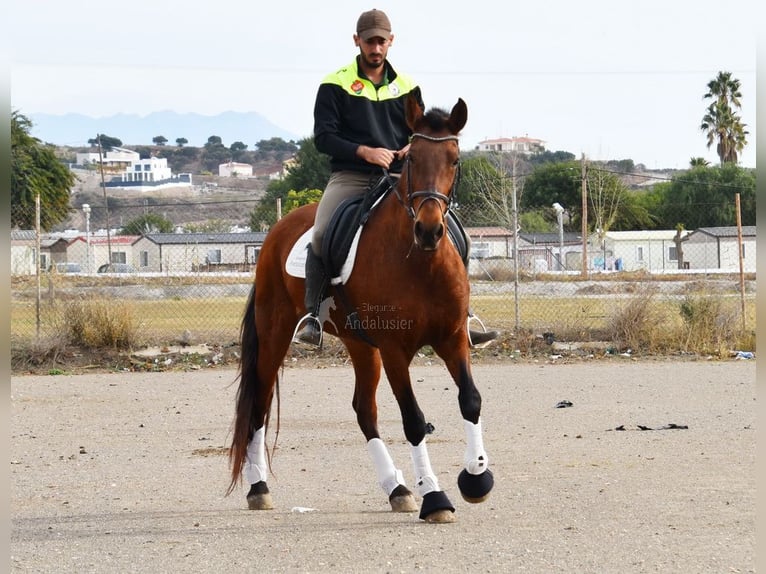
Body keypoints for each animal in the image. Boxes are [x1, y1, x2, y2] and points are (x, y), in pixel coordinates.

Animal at [228, 94, 496, 528]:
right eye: (412, 158)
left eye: (454, 159)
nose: (429, 230)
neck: (420, 262)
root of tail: (276, 232)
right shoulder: (395, 350)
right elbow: (413, 420)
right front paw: (435, 496)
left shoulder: (453, 338)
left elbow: (470, 400)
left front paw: (476, 477)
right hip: (276, 333)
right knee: (259, 405)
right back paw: (258, 488)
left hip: (360, 344)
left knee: (364, 412)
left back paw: (397, 488)